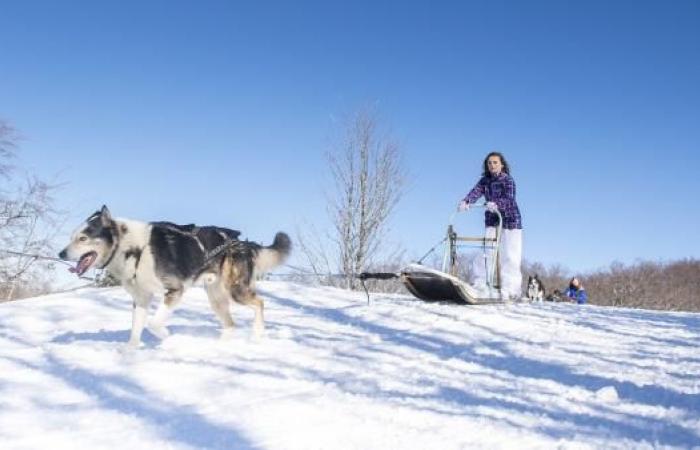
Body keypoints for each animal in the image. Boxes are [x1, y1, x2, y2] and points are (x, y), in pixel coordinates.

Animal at [58, 206, 290, 350]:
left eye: (83, 238)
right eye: (72, 237)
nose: (61, 254)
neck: (133, 248)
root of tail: (242, 242)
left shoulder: (175, 291)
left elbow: (153, 324)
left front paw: (169, 338)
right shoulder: (141, 299)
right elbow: (136, 330)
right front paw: (128, 354)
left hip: (235, 290)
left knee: (260, 303)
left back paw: (257, 334)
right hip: (216, 298)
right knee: (231, 324)